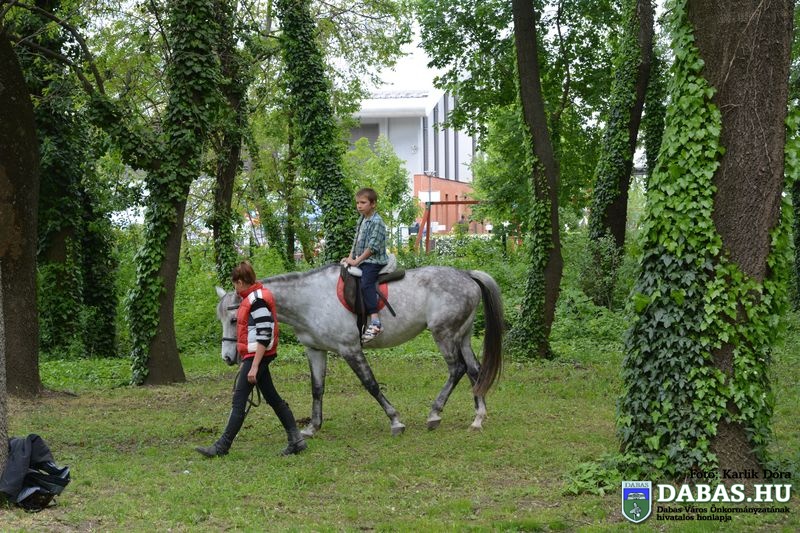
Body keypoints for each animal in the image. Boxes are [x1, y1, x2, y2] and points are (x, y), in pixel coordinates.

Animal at [215, 263, 503, 438]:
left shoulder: (350, 349)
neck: (310, 301)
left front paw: (395, 420)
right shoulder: (315, 350)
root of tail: (466, 275)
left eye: (236, 319)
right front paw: (312, 427)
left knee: (457, 369)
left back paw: (435, 413)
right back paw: (478, 418)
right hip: (461, 336)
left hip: (444, 334)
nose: (228, 357)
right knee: (474, 370)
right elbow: (317, 389)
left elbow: (371, 384)